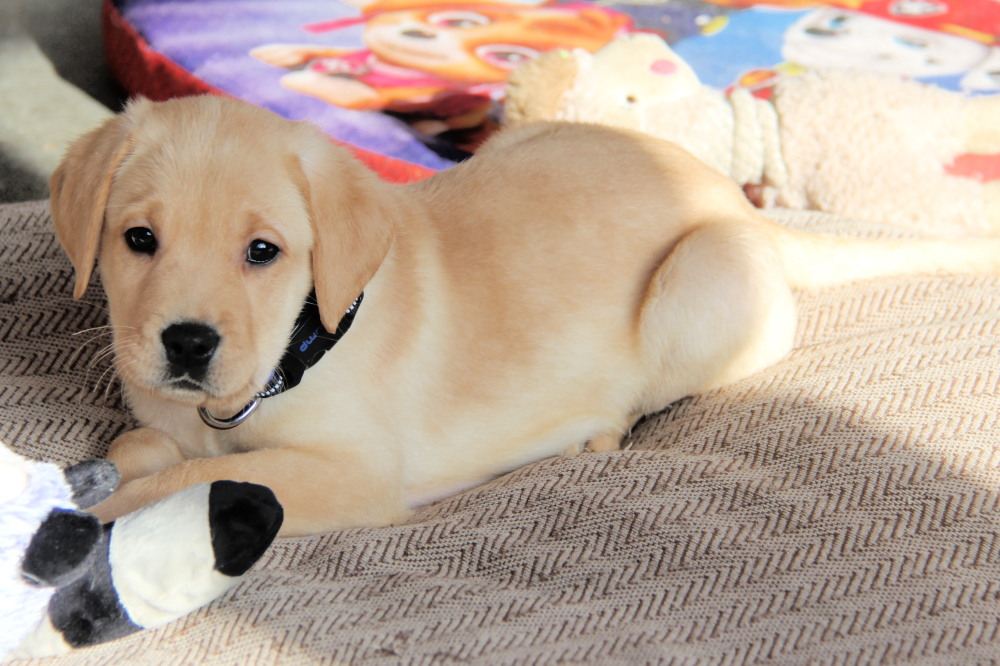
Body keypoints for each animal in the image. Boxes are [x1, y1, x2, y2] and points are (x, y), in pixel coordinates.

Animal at [52, 94, 1000, 536]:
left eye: (263, 252)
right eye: (138, 239)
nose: (186, 343)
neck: (293, 351)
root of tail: (751, 211)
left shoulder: (353, 473)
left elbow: (185, 481)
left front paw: (90, 515)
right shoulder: (168, 417)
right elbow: (146, 448)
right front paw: (107, 470)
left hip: (699, 282)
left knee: (636, 402)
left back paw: (589, 435)